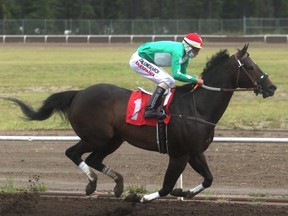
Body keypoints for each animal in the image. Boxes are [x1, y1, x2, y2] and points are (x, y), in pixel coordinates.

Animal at [5, 44, 276, 202]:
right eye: (250, 66)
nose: (271, 87)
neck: (197, 106)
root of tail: (79, 93)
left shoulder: (194, 152)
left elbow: (208, 179)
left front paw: (185, 191)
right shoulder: (178, 154)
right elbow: (165, 186)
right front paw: (142, 198)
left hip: (114, 139)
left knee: (93, 159)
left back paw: (116, 185)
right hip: (96, 136)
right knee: (73, 153)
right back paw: (92, 183)